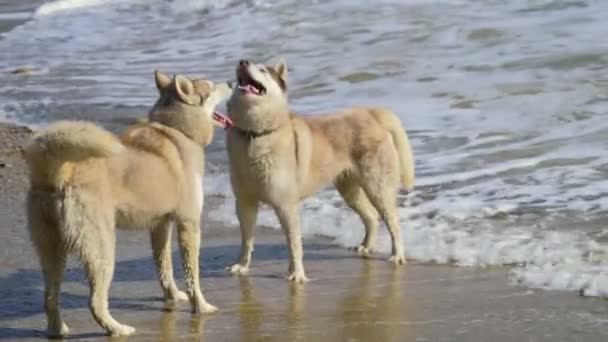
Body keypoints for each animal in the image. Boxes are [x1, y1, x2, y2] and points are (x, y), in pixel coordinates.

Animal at [24, 70, 233, 336]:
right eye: (210, 87)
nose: (233, 82)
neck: (176, 129)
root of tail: (59, 172)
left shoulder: (160, 225)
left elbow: (164, 267)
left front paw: (174, 295)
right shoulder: (189, 224)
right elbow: (192, 274)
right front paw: (202, 306)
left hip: (52, 251)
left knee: (50, 298)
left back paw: (58, 330)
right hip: (102, 250)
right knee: (95, 301)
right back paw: (117, 329)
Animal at [226, 59, 416, 284]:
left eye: (262, 70)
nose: (243, 62)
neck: (254, 135)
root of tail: (373, 113)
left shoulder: (285, 205)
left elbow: (294, 243)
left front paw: (297, 274)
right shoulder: (244, 203)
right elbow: (246, 239)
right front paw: (242, 266)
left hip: (377, 187)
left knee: (393, 222)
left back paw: (397, 255)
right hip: (349, 189)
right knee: (370, 216)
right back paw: (365, 246)